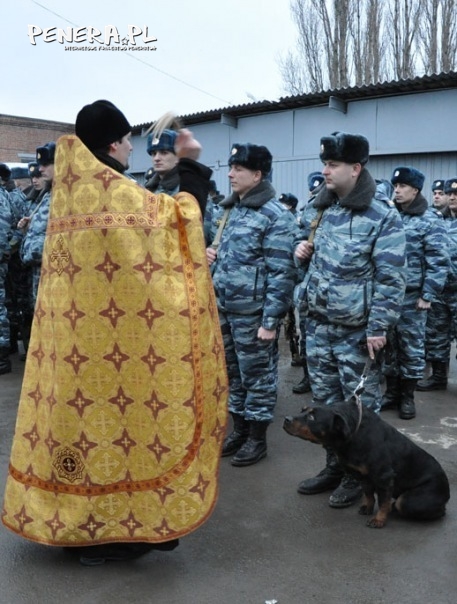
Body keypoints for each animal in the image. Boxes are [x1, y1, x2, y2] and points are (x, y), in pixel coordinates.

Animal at [284, 402, 448, 528]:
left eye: (312, 417)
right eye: (302, 410)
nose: (286, 419)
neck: (351, 436)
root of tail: (447, 493)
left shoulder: (384, 477)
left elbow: (383, 501)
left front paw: (379, 520)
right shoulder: (363, 476)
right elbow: (368, 494)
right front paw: (367, 508)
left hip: (411, 500)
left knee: (410, 505)